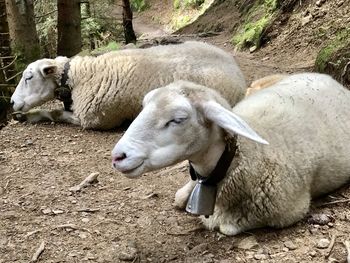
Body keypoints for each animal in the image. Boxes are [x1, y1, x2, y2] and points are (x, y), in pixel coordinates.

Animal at [10, 41, 246, 130]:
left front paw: (32, 116)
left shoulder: (95, 120)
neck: (80, 77)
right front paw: (24, 116)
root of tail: (235, 66)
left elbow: (57, 113)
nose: (11, 102)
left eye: (28, 77)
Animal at [110, 74, 350, 237]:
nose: (118, 156)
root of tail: (329, 78)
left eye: (178, 119)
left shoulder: (290, 210)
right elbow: (179, 198)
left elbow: (227, 227)